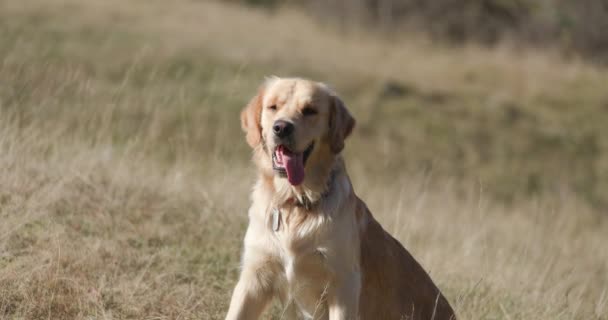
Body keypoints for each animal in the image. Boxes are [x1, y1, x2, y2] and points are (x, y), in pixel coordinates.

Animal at [228, 77, 456, 320]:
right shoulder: (255, 276)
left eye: (310, 110)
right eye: (273, 107)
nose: (281, 127)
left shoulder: (343, 284)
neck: (296, 202)